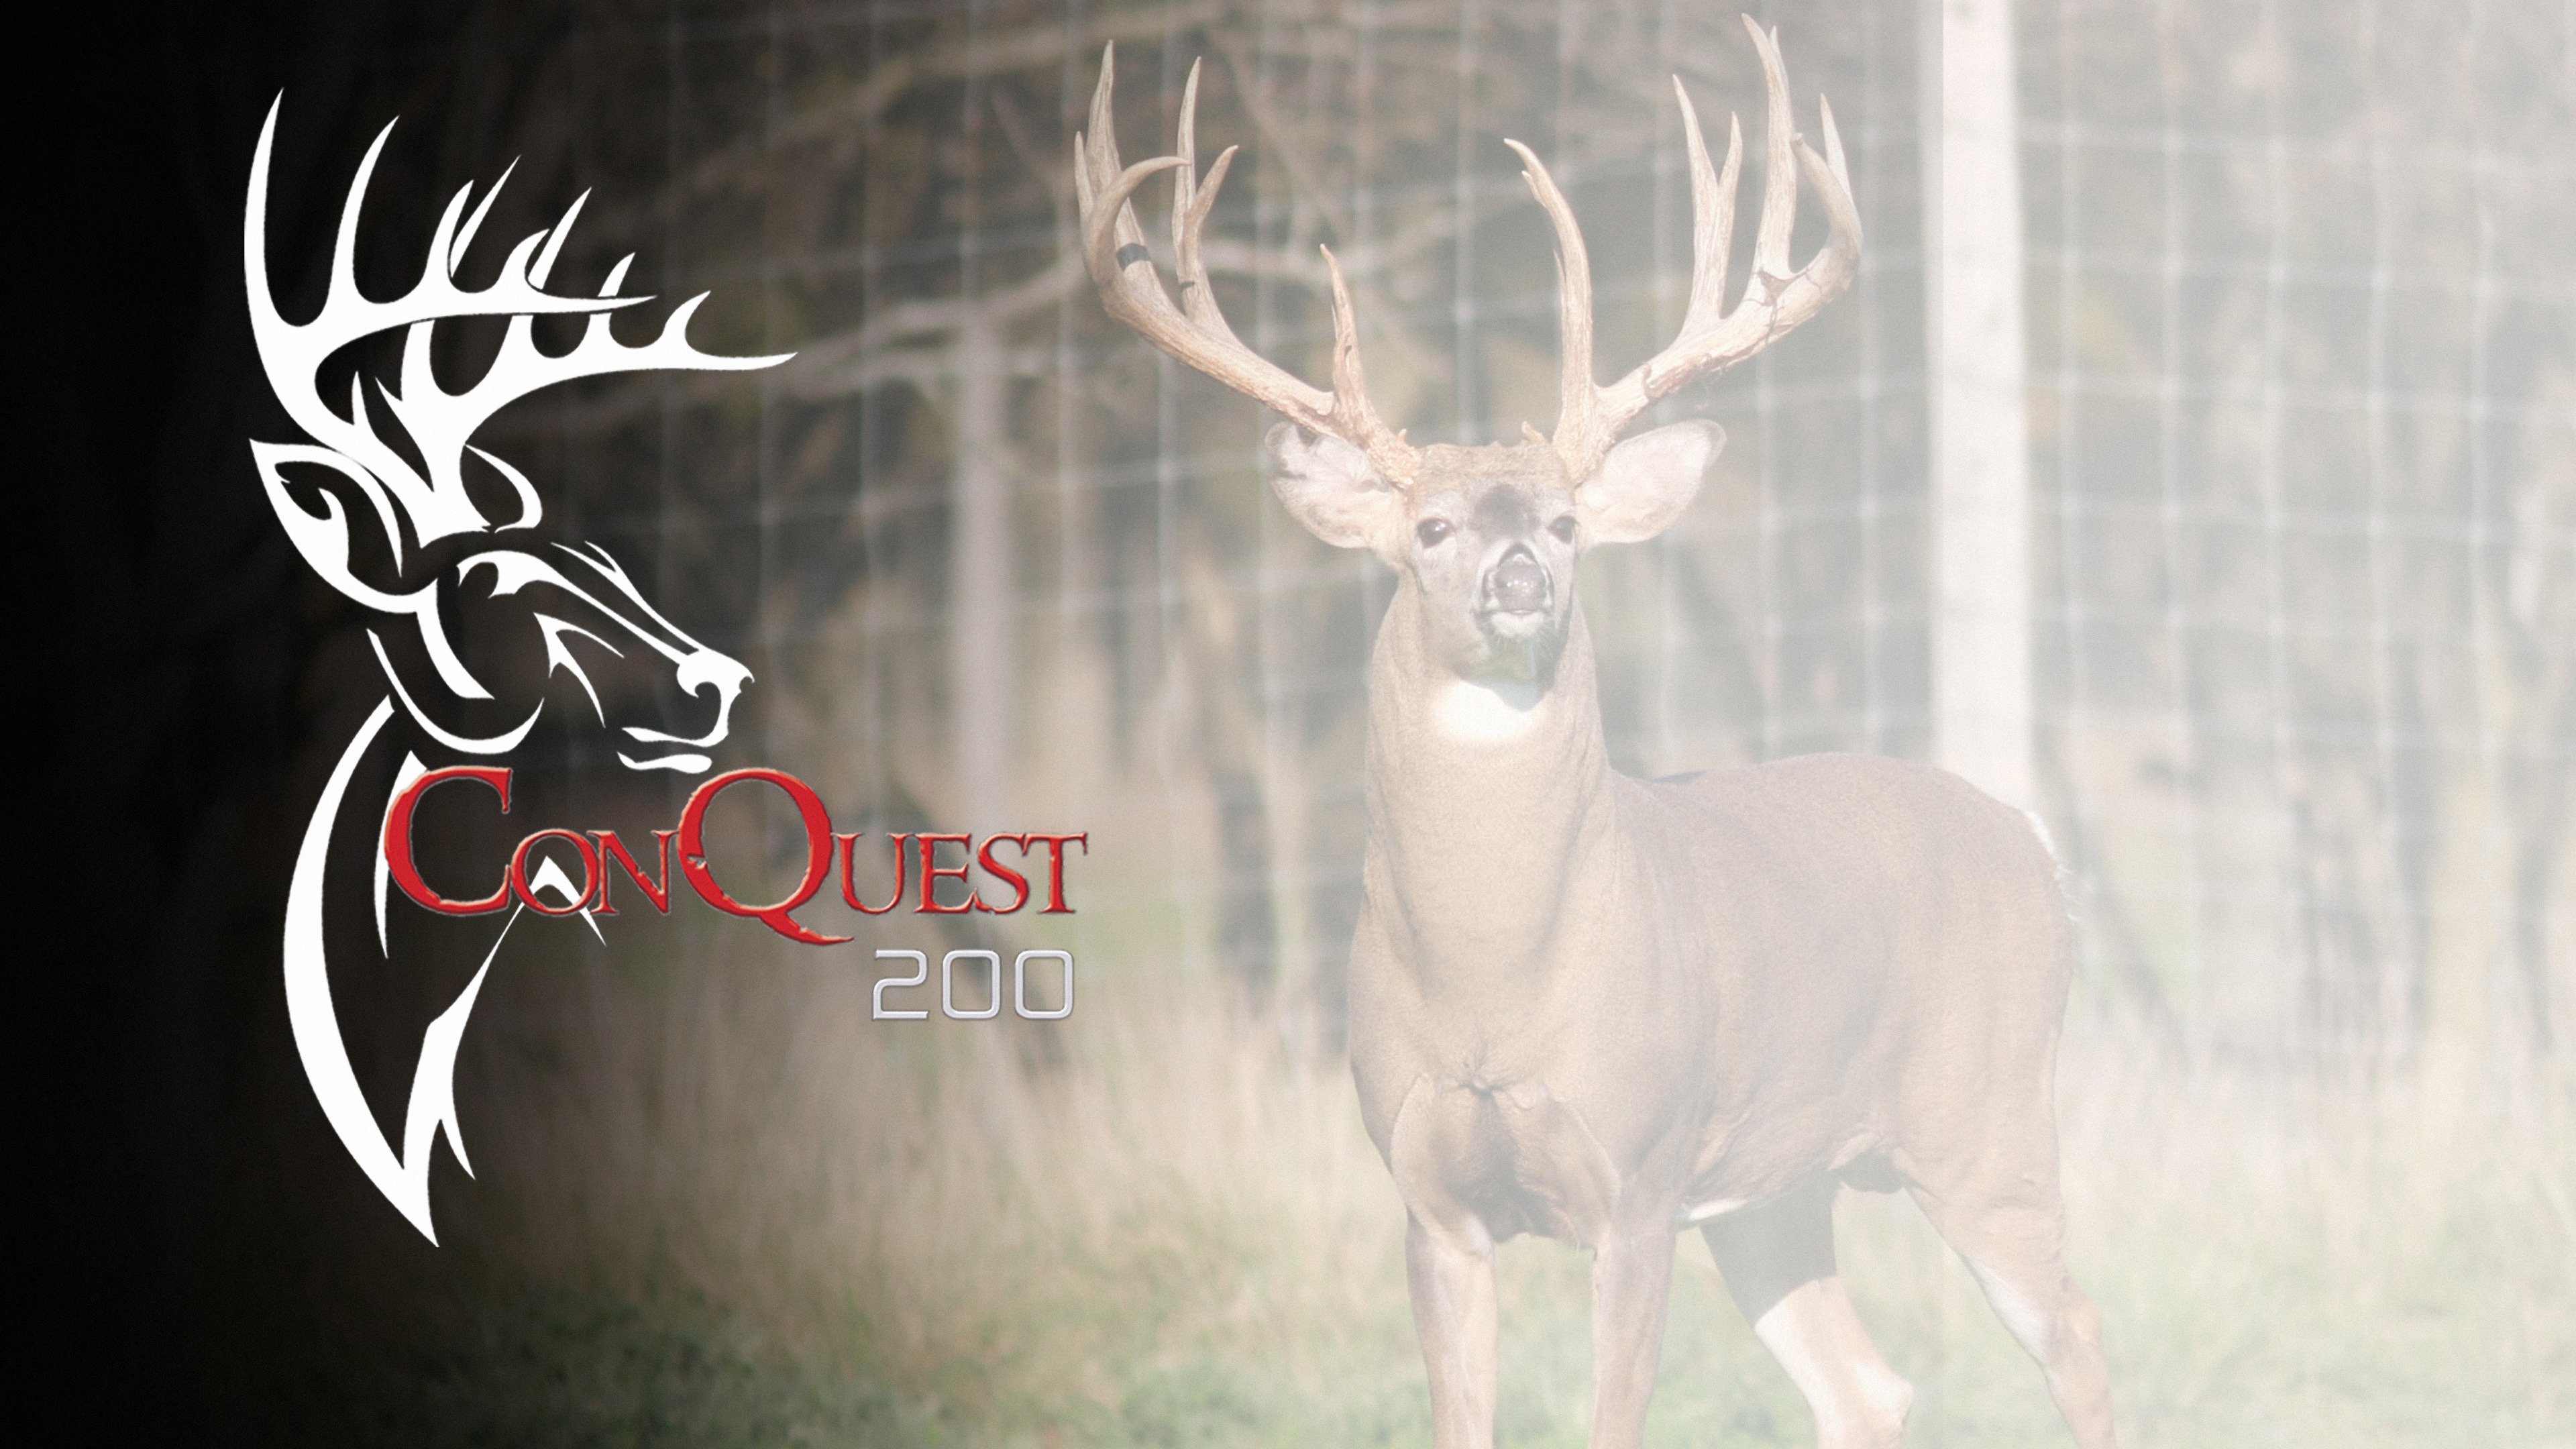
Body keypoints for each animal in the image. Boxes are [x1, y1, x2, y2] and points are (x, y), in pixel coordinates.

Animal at [1074, 20, 2116, 1449]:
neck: (1495, 990)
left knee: (2081, 1345)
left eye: (1568, 522)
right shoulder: (1429, 1196)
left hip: (1988, 1120)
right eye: (1433, 527)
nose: (1521, 563)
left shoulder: (1638, 1176)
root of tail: (2030, 834)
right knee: (1869, 1384)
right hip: (1778, 1184)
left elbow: (1610, 1415)